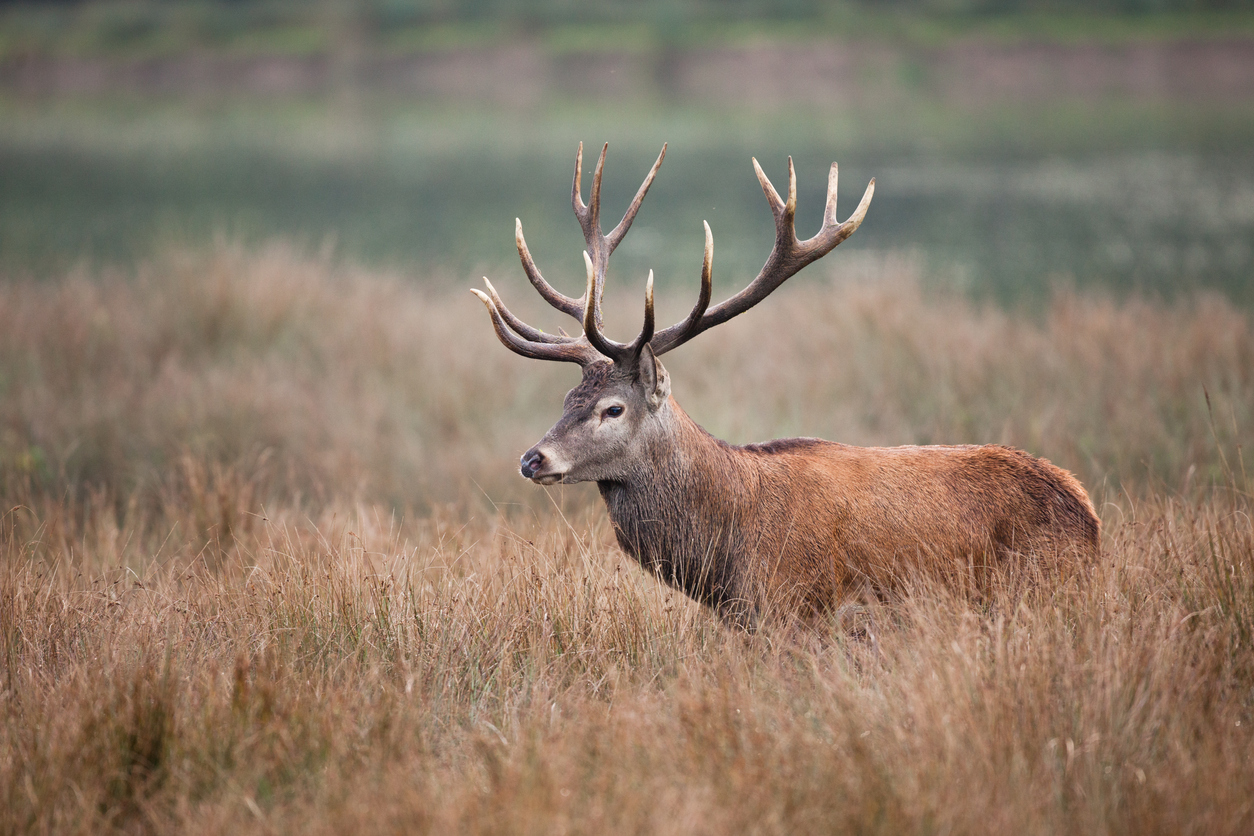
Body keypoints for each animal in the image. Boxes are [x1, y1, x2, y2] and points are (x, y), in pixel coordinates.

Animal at [472, 142, 1100, 627]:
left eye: (612, 409)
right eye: (566, 399)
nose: (532, 458)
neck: (728, 550)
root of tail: (1088, 515)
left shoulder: (796, 610)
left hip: (1041, 586)